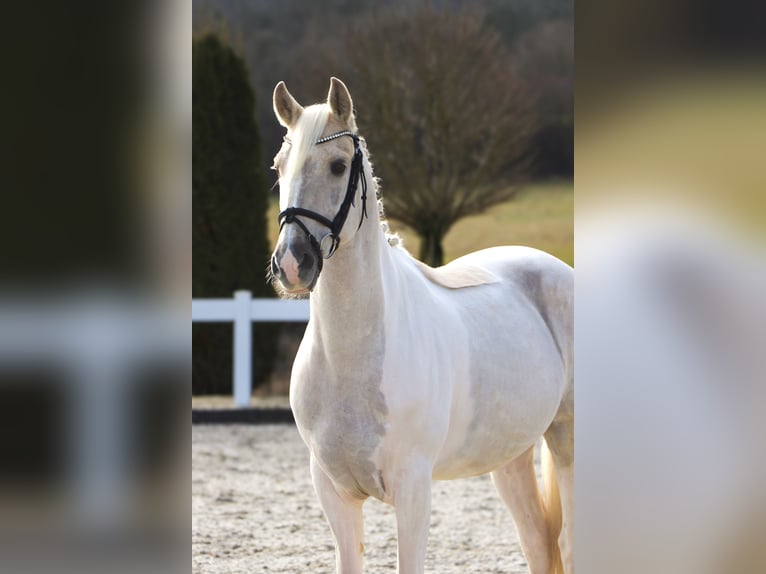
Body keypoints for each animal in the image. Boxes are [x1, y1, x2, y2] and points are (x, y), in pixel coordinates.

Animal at [268, 77, 572, 574]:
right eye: (278, 167)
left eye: (337, 166)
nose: (293, 263)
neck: (351, 360)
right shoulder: (333, 492)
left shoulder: (413, 488)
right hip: (511, 457)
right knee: (537, 542)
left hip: (567, 442)